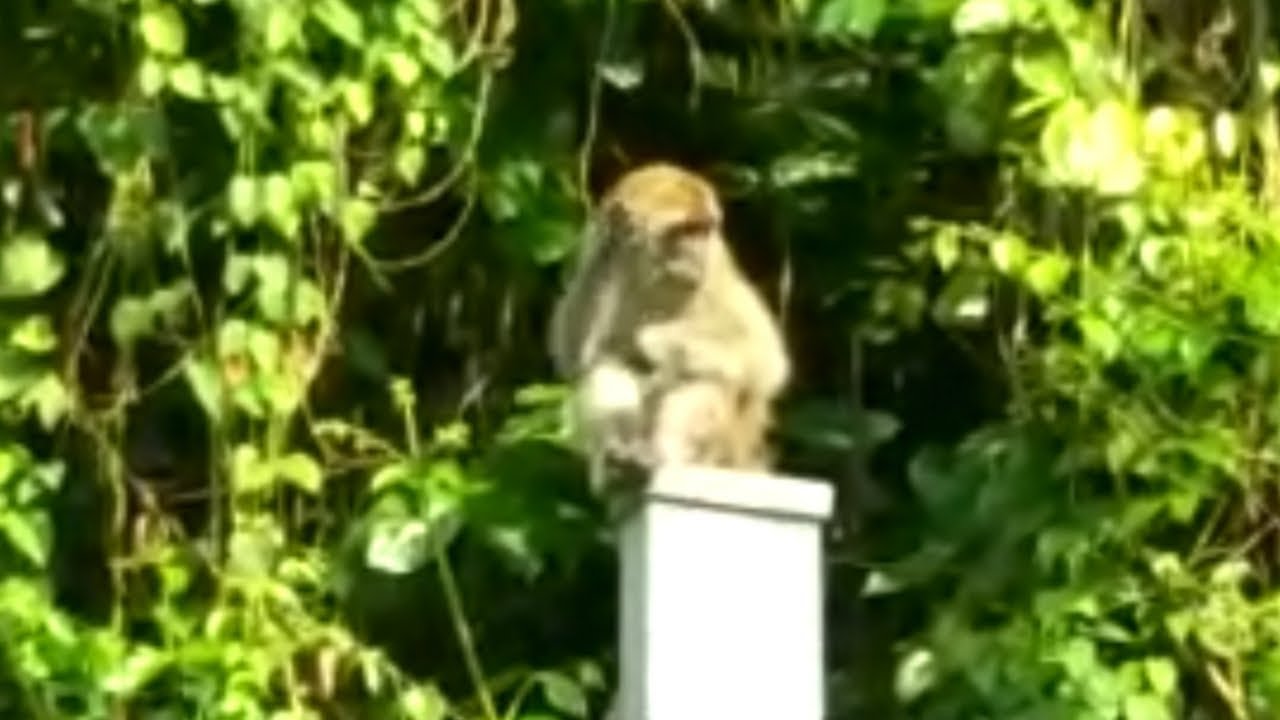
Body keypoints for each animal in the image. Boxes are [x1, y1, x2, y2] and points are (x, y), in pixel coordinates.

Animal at [548, 161, 790, 491]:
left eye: (704, 229)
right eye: (684, 231)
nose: (698, 254)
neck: (652, 272)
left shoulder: (716, 265)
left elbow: (764, 357)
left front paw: (650, 340)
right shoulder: (595, 257)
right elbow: (575, 357)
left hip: (727, 445)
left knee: (708, 373)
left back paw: (664, 451)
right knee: (608, 364)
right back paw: (619, 459)